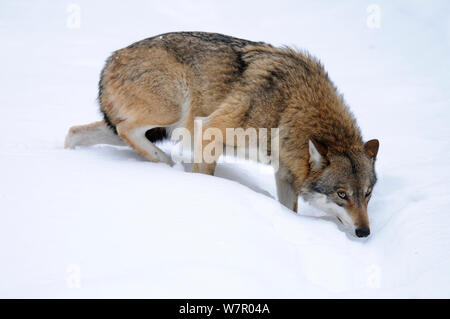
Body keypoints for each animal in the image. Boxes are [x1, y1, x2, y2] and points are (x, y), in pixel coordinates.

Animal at [64, 31, 380, 238]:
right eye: (341, 194)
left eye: (367, 194)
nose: (364, 232)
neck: (290, 107)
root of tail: (111, 59)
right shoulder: (210, 131)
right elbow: (205, 175)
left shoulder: (284, 174)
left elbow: (289, 210)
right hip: (173, 111)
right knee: (126, 129)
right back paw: (167, 165)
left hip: (146, 127)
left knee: (74, 132)